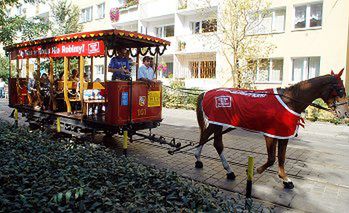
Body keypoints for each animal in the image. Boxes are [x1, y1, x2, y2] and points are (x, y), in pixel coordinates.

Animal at [194, 70, 346, 188]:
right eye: (340, 90)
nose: (345, 113)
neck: (290, 100)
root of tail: (206, 93)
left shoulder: (283, 135)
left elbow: (282, 158)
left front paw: (286, 179)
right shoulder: (270, 135)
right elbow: (272, 158)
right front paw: (254, 170)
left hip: (218, 123)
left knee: (210, 140)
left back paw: (210, 164)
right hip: (216, 123)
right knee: (212, 141)